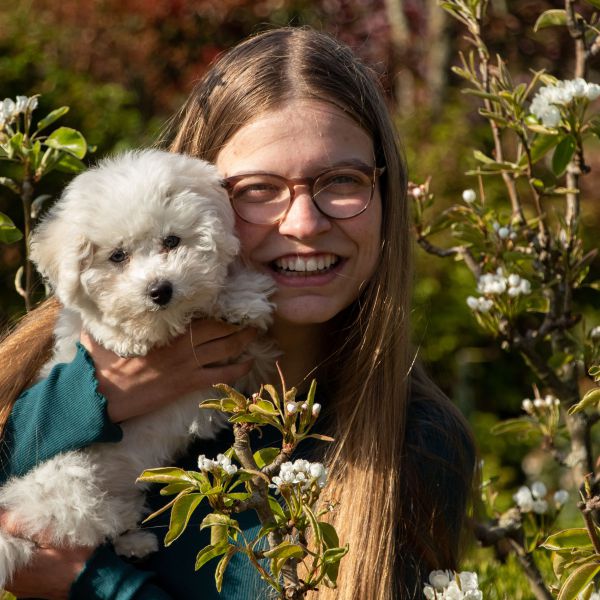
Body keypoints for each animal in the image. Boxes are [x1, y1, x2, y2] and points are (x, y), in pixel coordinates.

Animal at [0, 150, 276, 584]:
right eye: (117, 256)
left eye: (172, 241)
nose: (160, 290)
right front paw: (131, 334)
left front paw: (242, 299)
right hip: (69, 481)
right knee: (83, 528)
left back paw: (136, 542)